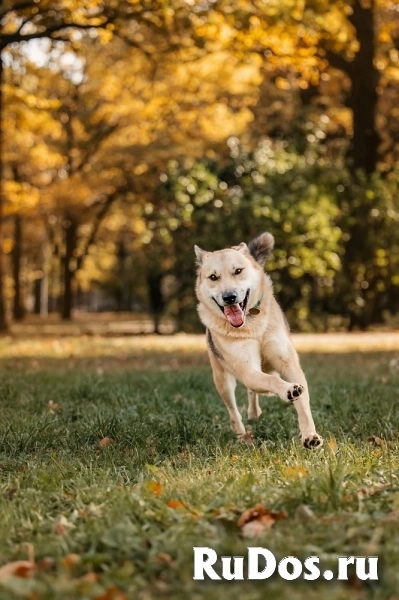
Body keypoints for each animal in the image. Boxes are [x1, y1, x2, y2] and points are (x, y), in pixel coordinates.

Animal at [195, 232, 324, 448]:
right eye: (213, 277)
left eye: (238, 271)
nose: (229, 297)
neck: (252, 323)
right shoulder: (247, 369)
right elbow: (270, 381)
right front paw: (287, 390)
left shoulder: (289, 364)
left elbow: (302, 402)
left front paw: (310, 435)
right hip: (222, 379)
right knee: (234, 411)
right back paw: (242, 436)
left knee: (255, 391)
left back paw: (255, 412)